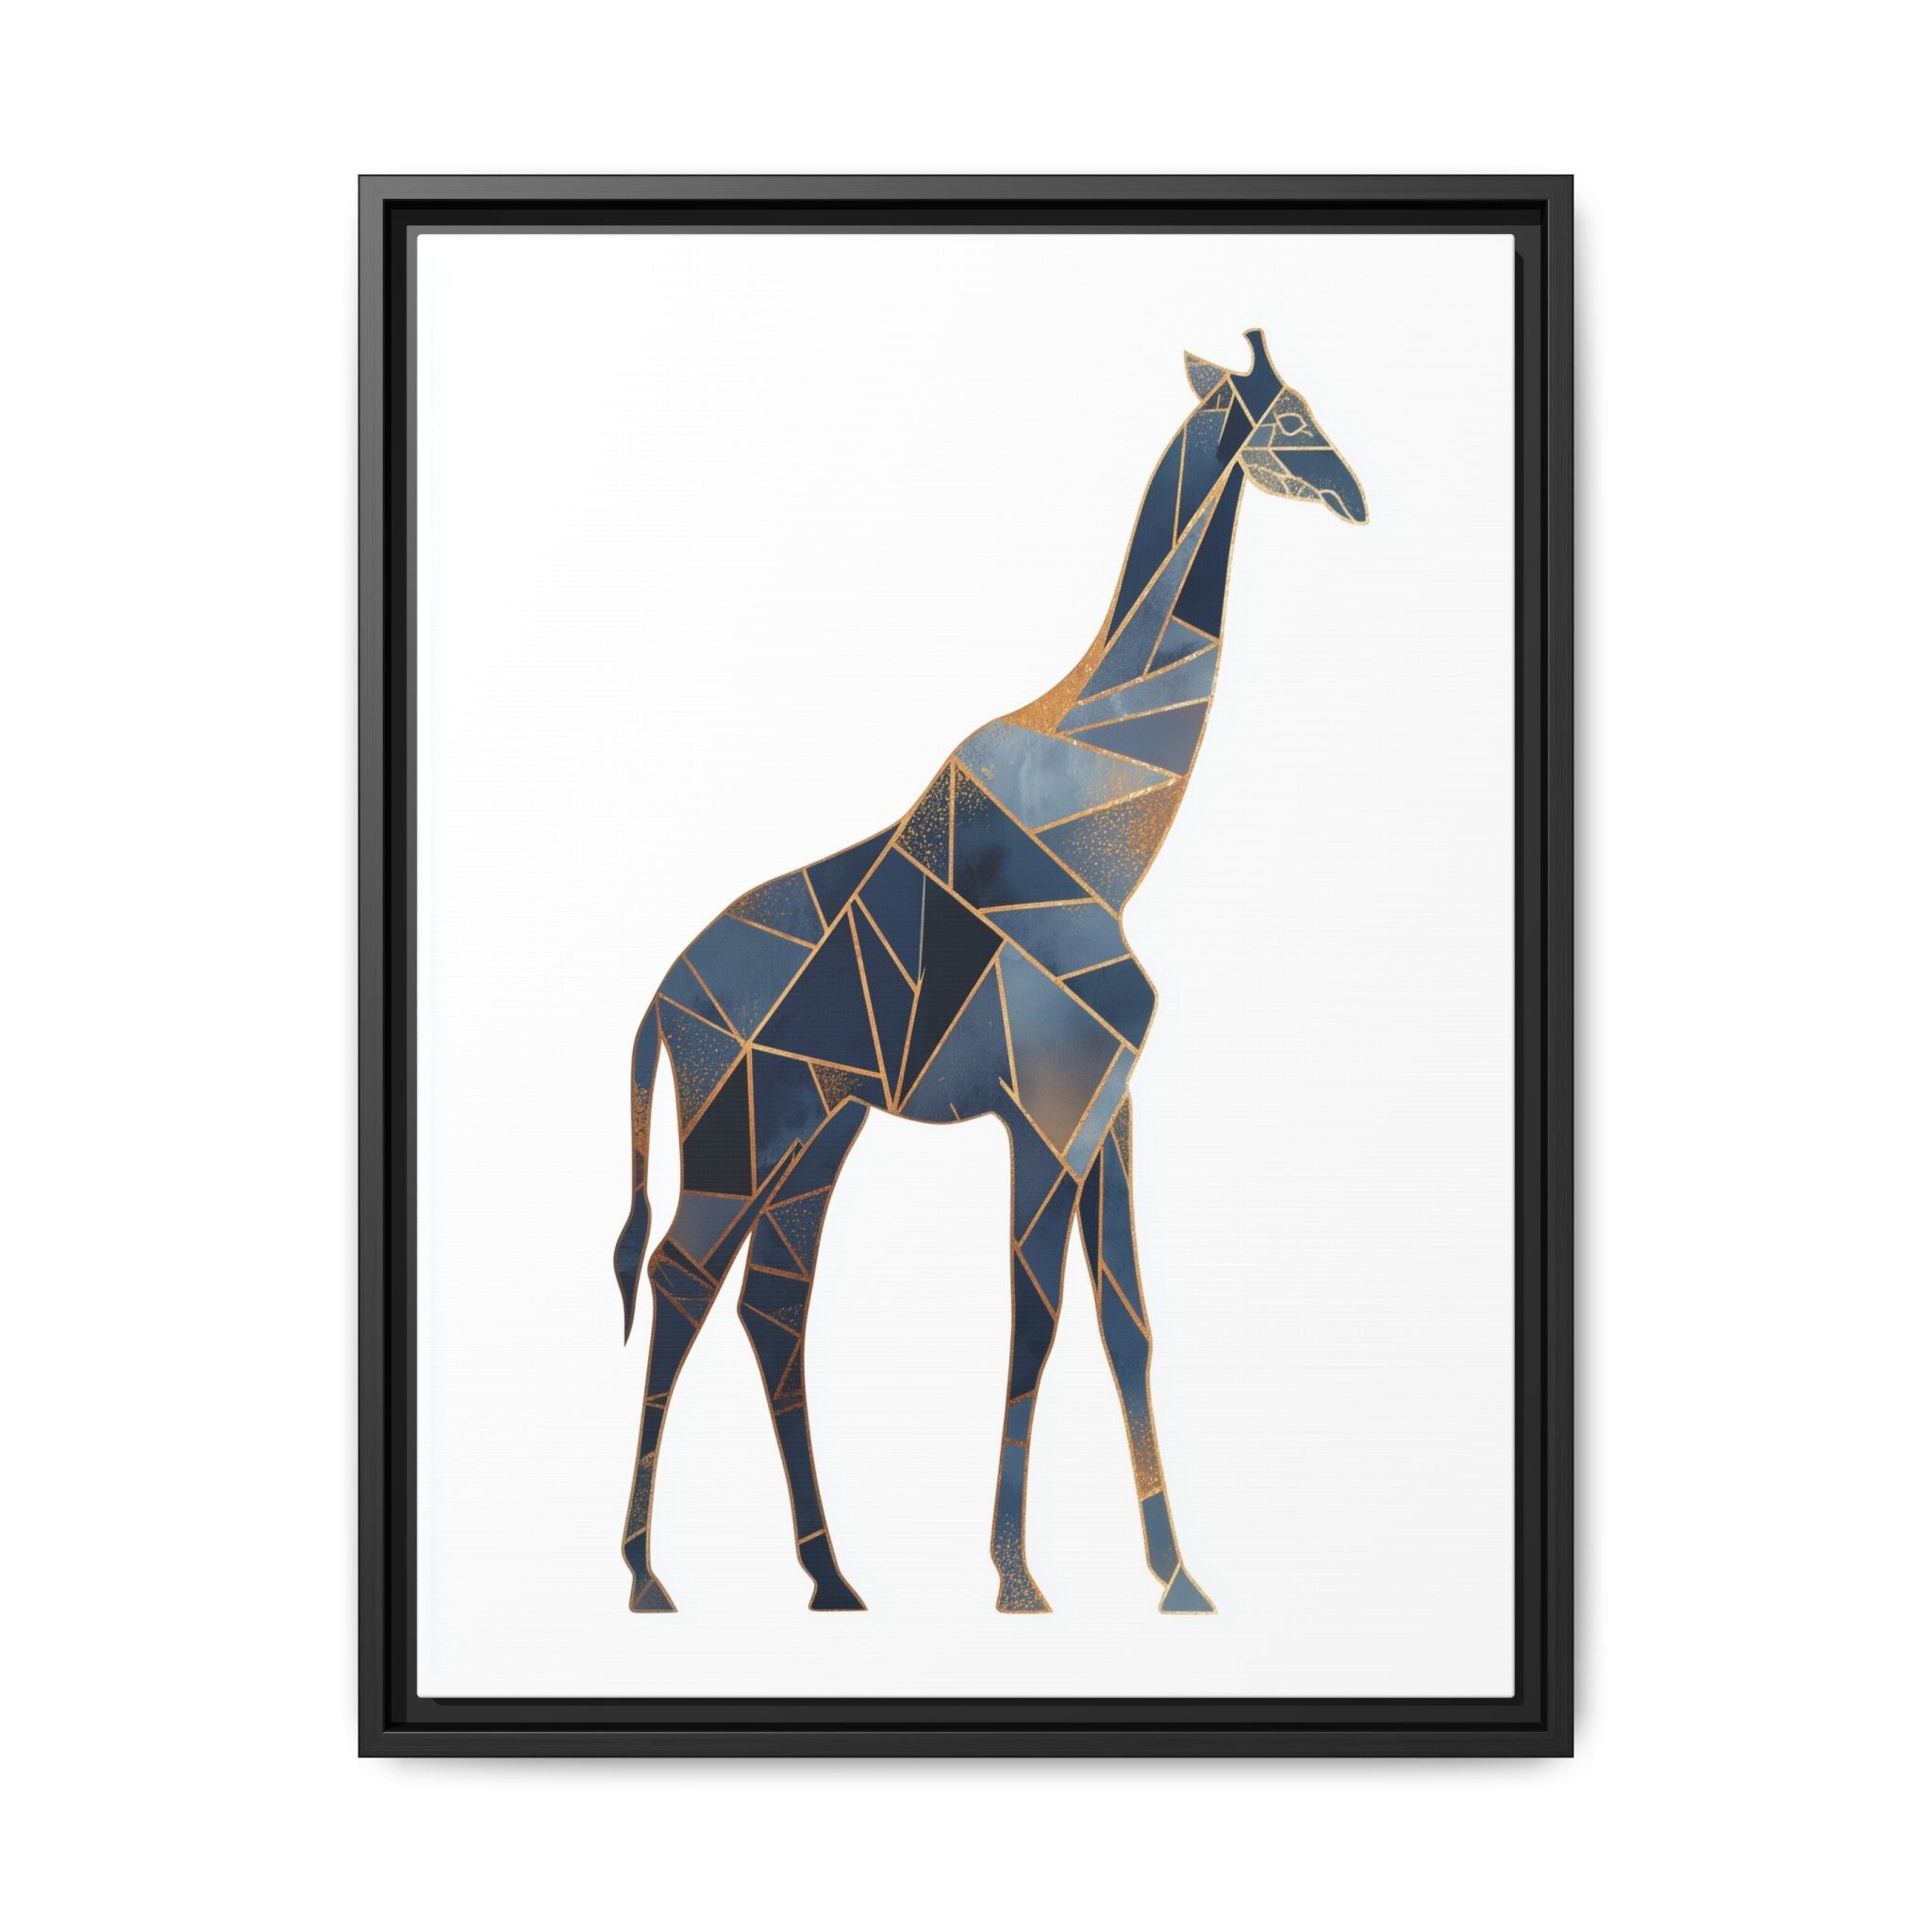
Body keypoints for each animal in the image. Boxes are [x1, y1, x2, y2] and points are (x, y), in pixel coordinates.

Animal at [613, 329, 1367, 1615]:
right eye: (1287, 418)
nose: (1354, 495)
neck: (1108, 834)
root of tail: (659, 1001)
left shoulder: (1107, 1106)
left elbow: (1127, 1322)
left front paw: (1176, 1578)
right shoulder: (1046, 1109)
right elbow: (1036, 1319)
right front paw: (1016, 1577)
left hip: (816, 1132)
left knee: (771, 1302)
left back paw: (830, 1575)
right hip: (737, 1130)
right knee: (677, 1281)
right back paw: (645, 1575)